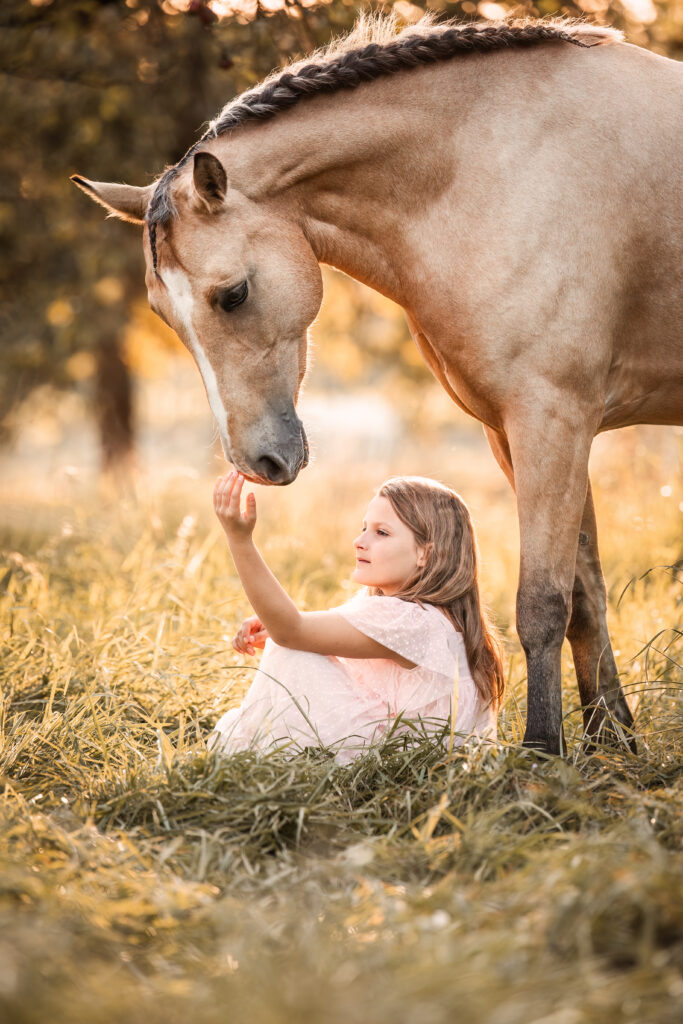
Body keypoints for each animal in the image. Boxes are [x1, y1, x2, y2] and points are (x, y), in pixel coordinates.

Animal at [70, 14, 683, 753]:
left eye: (233, 294)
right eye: (164, 316)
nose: (257, 462)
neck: (492, 167)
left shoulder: (551, 417)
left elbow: (541, 602)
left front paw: (542, 752)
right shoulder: (520, 430)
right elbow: (585, 594)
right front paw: (610, 744)